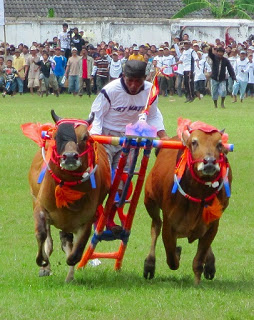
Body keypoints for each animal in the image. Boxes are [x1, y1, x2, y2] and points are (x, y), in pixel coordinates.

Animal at [28, 111, 110, 282]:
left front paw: (70, 274)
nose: (70, 157)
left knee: (67, 242)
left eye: (85, 136)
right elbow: (42, 234)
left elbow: (75, 252)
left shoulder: (86, 219)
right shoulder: (40, 206)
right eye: (57, 136)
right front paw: (42, 262)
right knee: (50, 240)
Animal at [143, 124, 232, 284]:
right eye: (194, 142)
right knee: (156, 226)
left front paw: (197, 282)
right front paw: (177, 252)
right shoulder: (169, 225)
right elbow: (172, 259)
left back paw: (210, 264)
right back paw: (149, 265)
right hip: (150, 201)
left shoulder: (213, 224)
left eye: (219, 144)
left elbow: (198, 259)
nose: (209, 161)